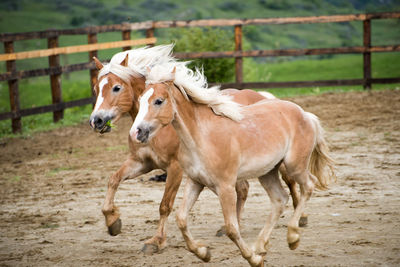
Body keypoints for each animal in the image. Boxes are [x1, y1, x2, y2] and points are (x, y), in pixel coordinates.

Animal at [89, 44, 310, 255]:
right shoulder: (141, 163)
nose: (96, 121)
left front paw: (156, 241)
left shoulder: (175, 168)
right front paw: (113, 222)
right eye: (96, 88)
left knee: (290, 181)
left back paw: (300, 219)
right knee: (245, 189)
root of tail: (263, 96)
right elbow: (113, 180)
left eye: (116, 87)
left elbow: (165, 205)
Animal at [131, 65, 334, 267]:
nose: (136, 132)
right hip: (268, 172)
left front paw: (253, 260)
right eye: (140, 100)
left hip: (294, 166)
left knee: (309, 185)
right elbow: (181, 219)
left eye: (158, 101)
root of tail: (305, 114)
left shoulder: (226, 187)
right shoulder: (195, 182)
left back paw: (292, 238)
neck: (202, 138)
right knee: (279, 199)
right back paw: (260, 246)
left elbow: (232, 228)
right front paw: (204, 253)